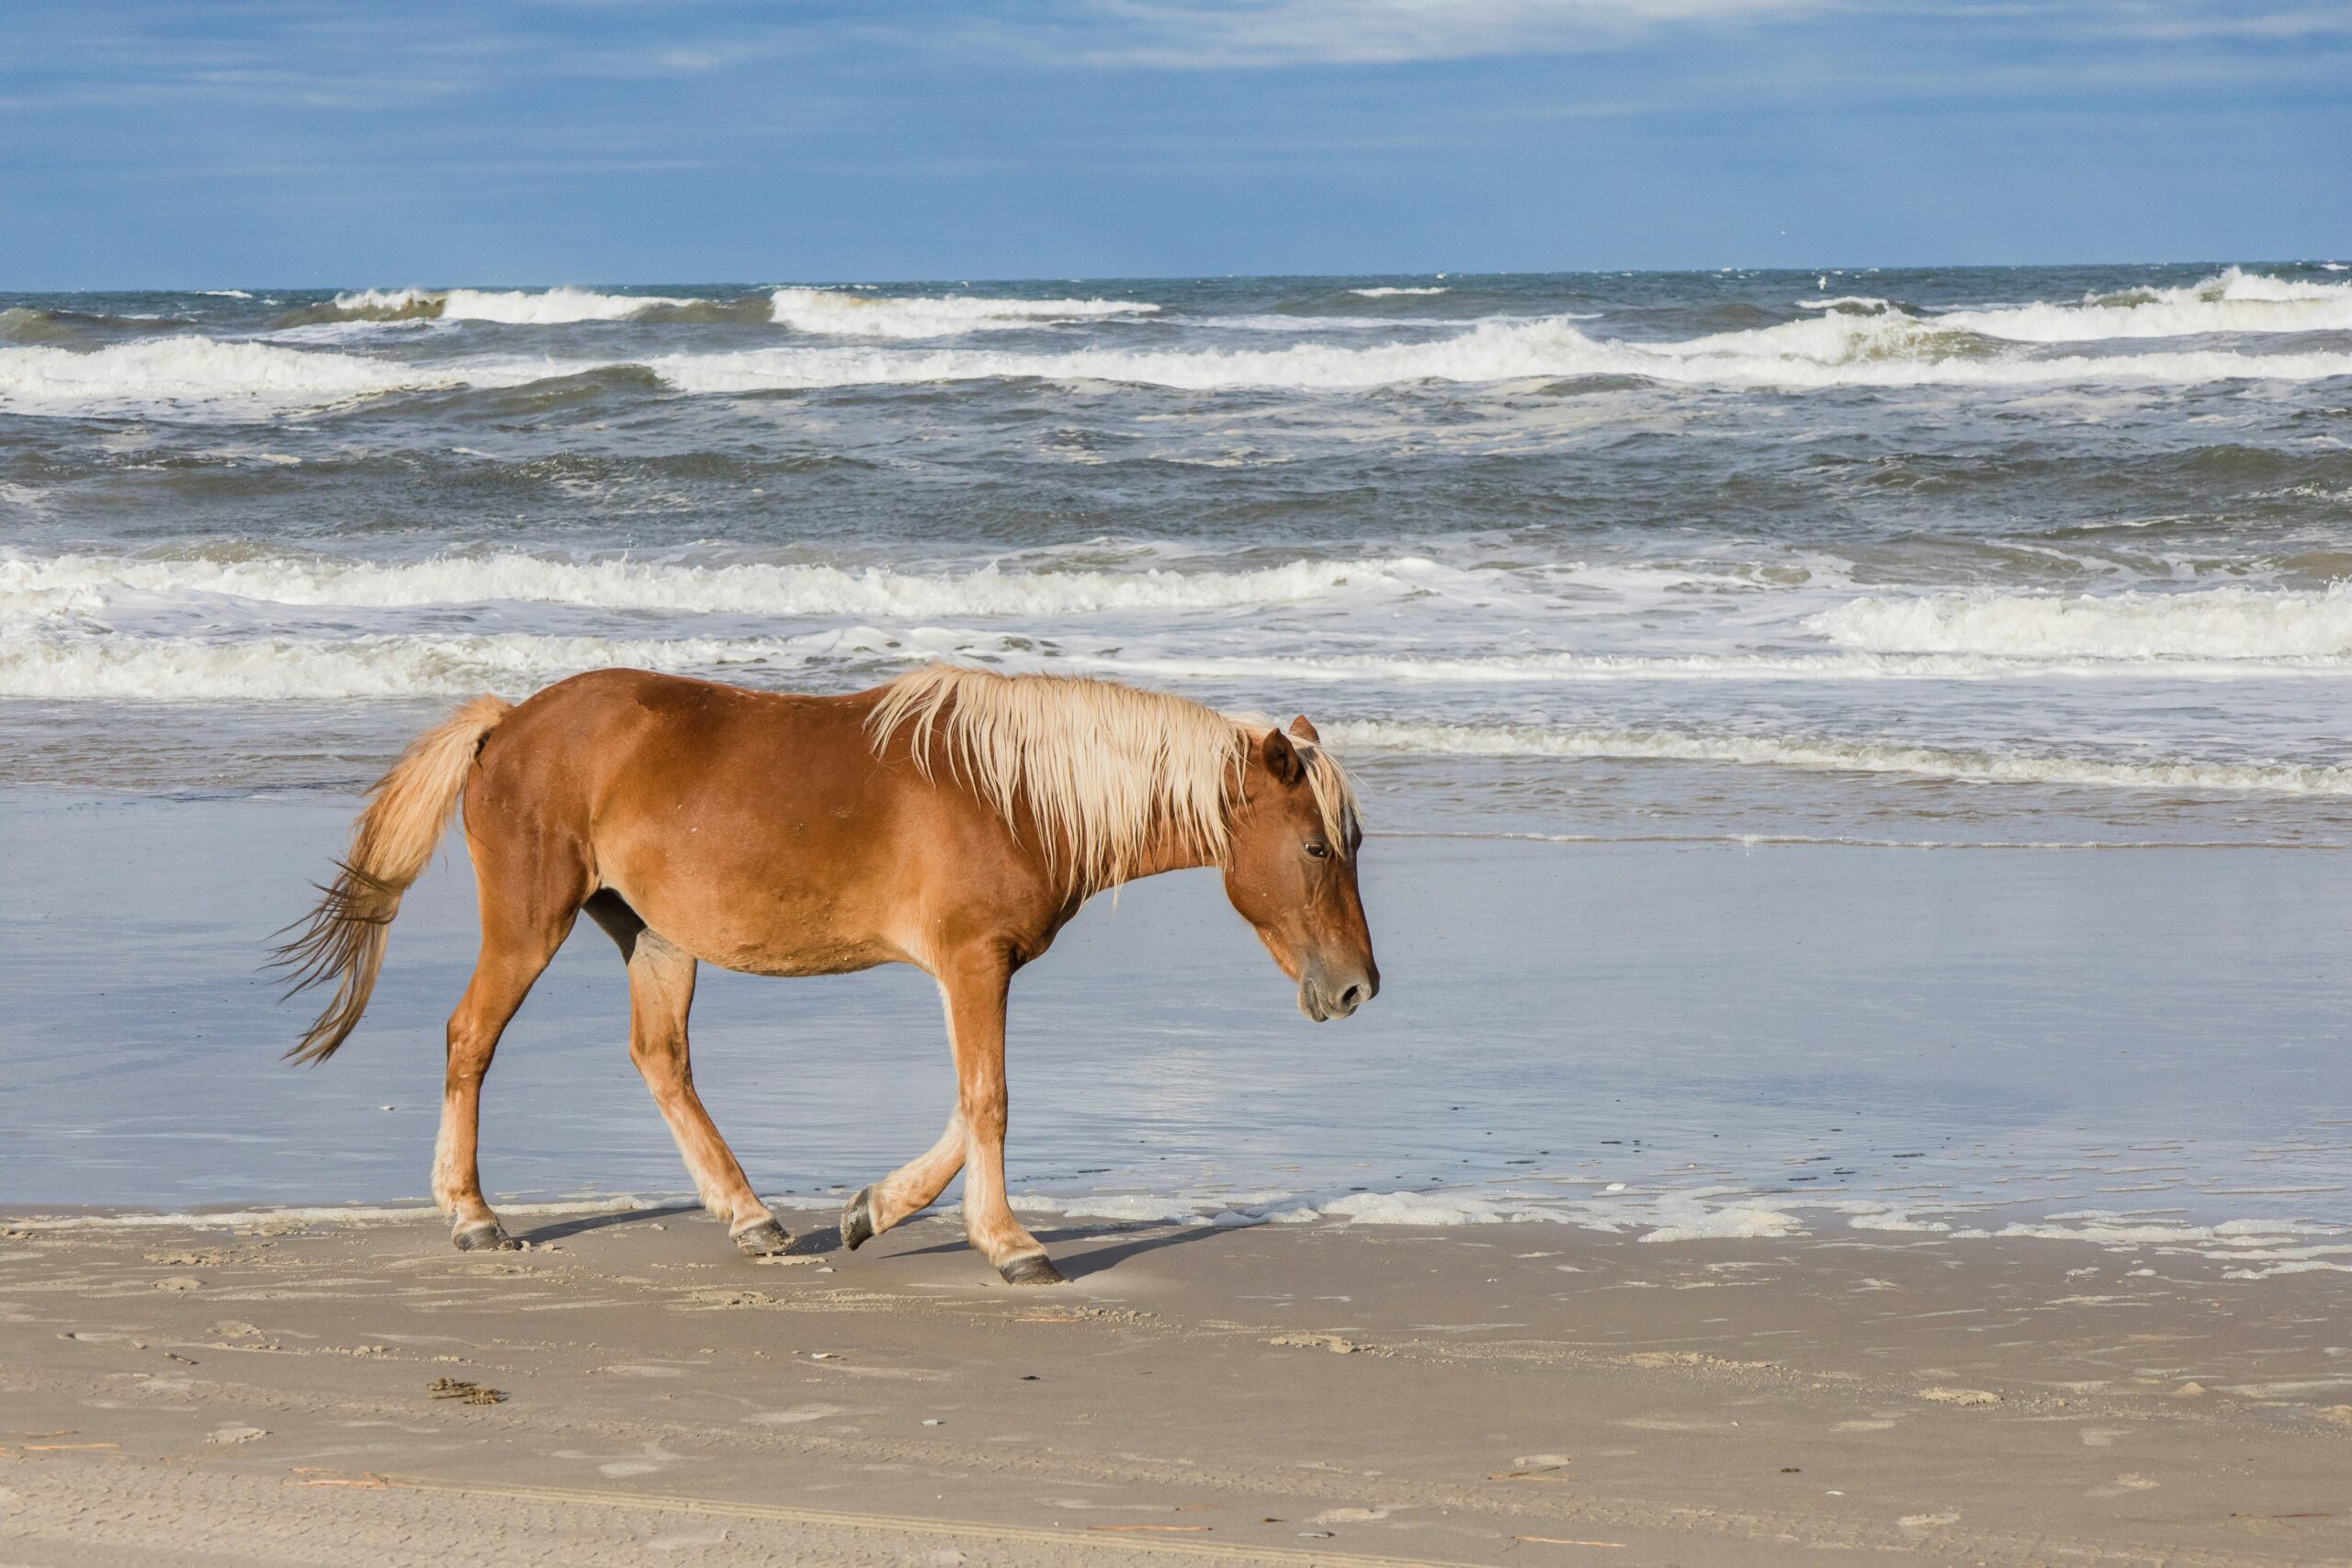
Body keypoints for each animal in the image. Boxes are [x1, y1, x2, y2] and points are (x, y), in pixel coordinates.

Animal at [275, 662, 1374, 1288]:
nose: (1358, 988)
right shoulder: (972, 961)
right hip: (529, 921)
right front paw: (1009, 1244)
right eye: (1317, 847)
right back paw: (472, 1217)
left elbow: (964, 1105)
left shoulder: (974, 967)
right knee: (471, 1037)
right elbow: (989, 1100)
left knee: (661, 1061)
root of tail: (508, 723)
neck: (1016, 791)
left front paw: (870, 1209)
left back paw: (752, 1218)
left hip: (657, 938)